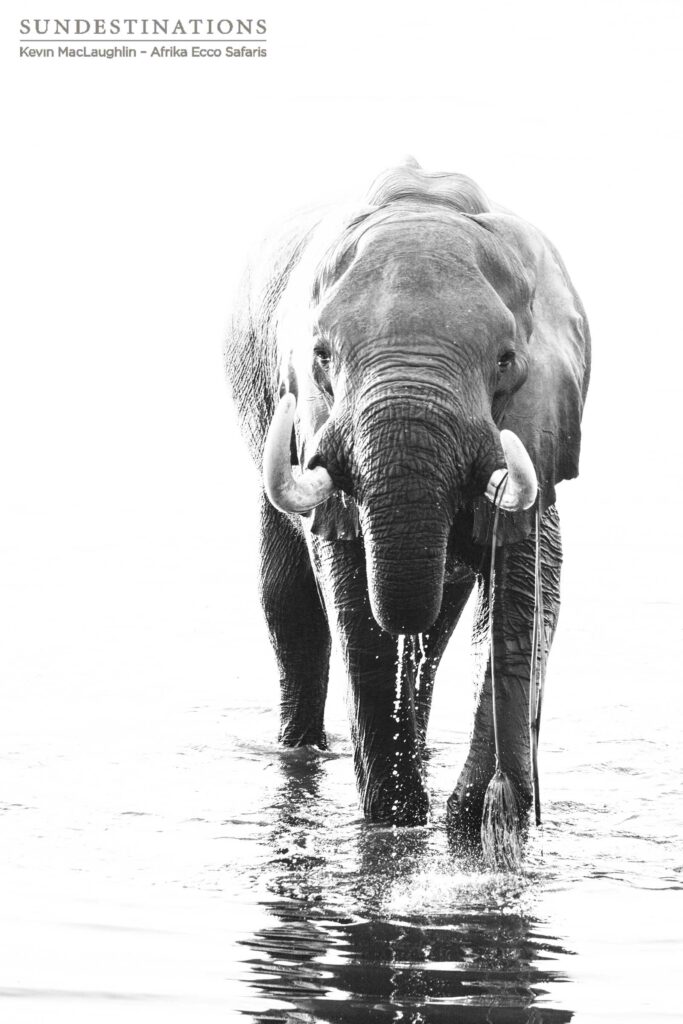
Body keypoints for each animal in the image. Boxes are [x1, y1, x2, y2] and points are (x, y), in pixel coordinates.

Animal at [225, 158, 590, 853]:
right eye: (321, 355)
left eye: (506, 360)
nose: (517, 809)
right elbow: (349, 592)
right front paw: (397, 818)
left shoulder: (540, 426)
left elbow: (528, 586)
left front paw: (482, 820)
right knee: (289, 604)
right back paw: (305, 750)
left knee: (436, 629)